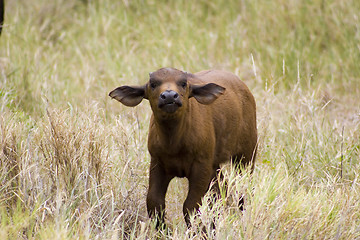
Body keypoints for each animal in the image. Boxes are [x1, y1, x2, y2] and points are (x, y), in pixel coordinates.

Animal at [108, 67, 258, 227]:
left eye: (183, 83)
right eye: (153, 84)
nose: (169, 96)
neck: (174, 142)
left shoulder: (201, 166)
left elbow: (191, 205)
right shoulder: (157, 163)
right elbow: (154, 202)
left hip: (246, 156)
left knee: (243, 188)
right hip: (216, 166)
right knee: (221, 190)